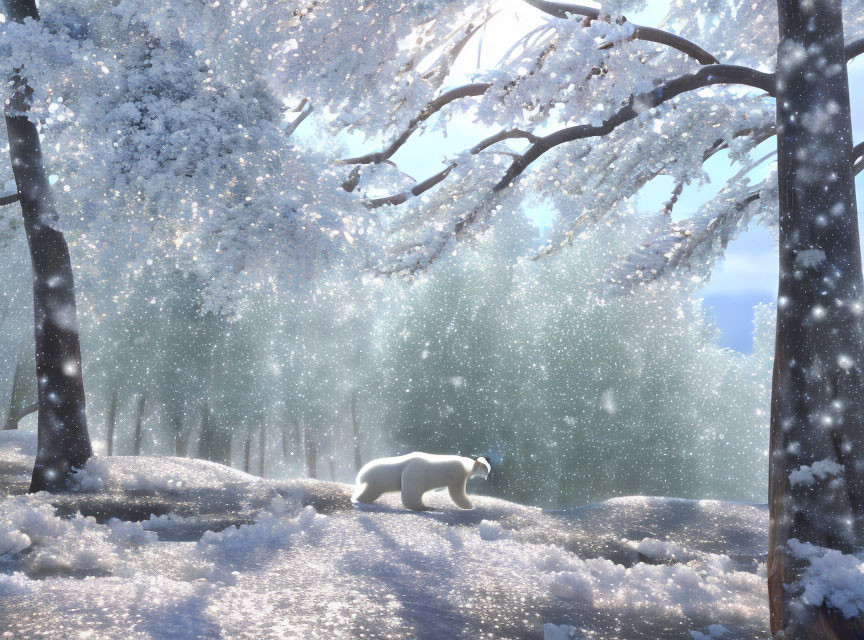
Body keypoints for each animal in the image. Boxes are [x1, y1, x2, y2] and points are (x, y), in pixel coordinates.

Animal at [350, 452, 486, 512]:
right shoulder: (457, 474)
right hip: (409, 474)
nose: (486, 474)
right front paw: (470, 506)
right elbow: (457, 493)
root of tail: (362, 474)